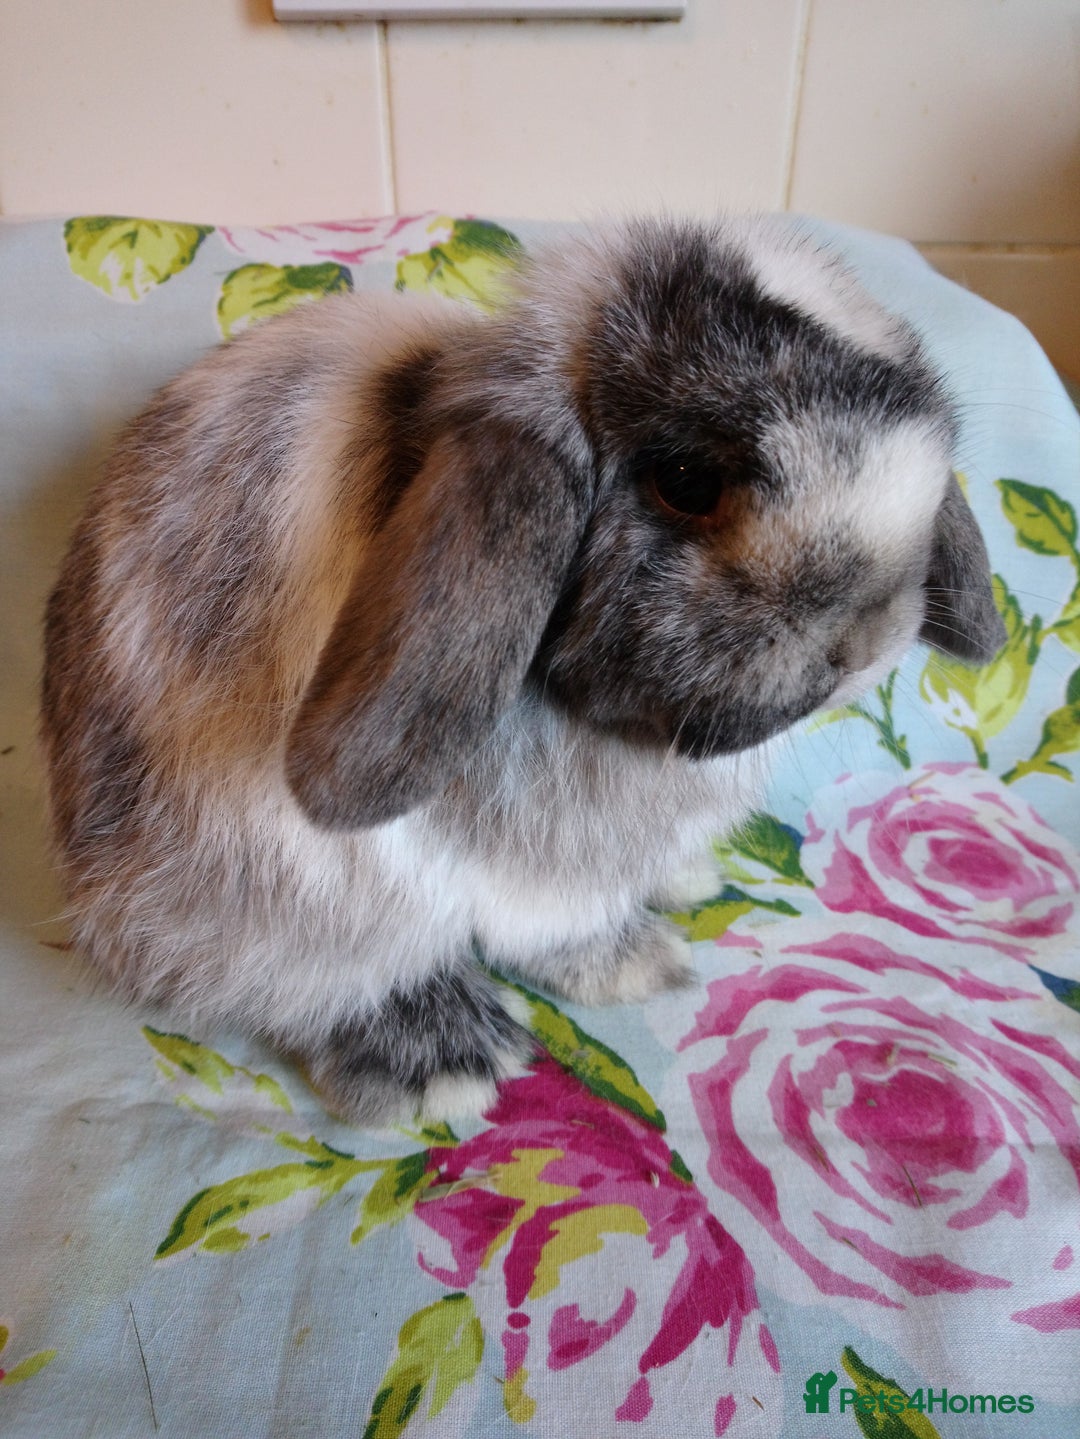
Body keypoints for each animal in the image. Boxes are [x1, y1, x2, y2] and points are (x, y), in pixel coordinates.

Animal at [41, 215, 1006, 1126]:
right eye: (687, 480)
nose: (866, 640)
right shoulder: (519, 872)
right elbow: (554, 927)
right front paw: (638, 963)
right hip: (279, 887)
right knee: (303, 975)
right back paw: (443, 1061)